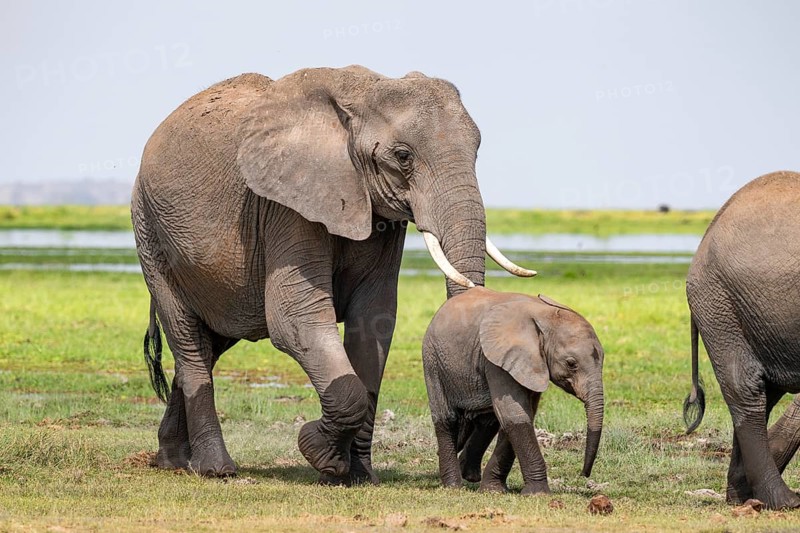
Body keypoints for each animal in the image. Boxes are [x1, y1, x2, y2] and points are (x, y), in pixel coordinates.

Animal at [130, 66, 535, 483]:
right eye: (403, 156)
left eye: (477, 150)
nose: (466, 427)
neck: (362, 96)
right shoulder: (285, 205)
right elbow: (295, 318)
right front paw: (319, 454)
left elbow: (374, 322)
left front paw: (357, 475)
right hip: (150, 233)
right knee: (188, 339)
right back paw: (216, 469)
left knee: (209, 344)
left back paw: (173, 461)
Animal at [422, 287, 605, 494]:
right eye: (571, 363)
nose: (584, 474)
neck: (545, 315)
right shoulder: (496, 359)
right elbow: (514, 413)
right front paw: (538, 494)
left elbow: (521, 415)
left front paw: (494, 491)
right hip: (432, 359)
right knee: (446, 419)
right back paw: (453, 486)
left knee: (488, 420)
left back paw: (469, 475)